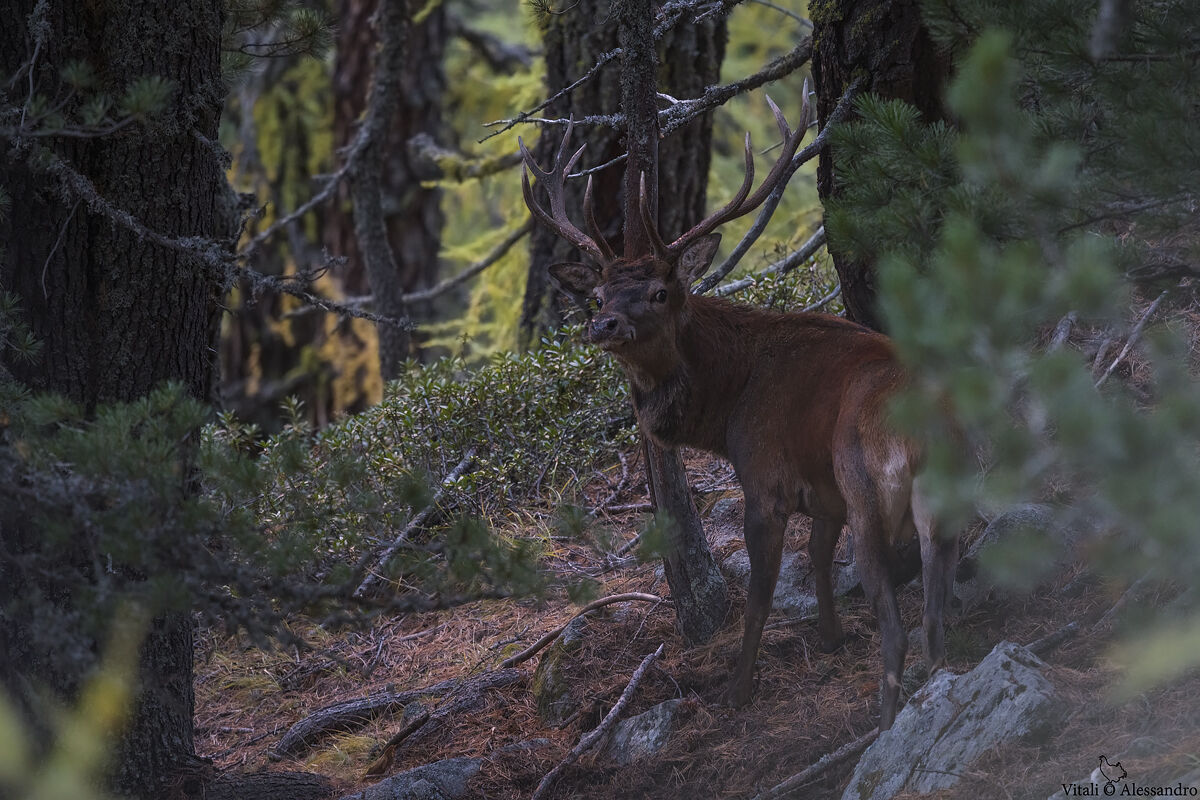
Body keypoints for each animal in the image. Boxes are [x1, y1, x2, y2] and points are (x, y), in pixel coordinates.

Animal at [519, 92, 959, 730]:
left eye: (660, 292)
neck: (727, 405)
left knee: (898, 628)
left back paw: (883, 723)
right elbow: (817, 556)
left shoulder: (766, 476)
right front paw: (829, 636)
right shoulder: (822, 489)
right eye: (598, 296)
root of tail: (924, 432)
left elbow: (759, 596)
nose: (603, 325)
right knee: (934, 615)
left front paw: (737, 689)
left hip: (868, 493)